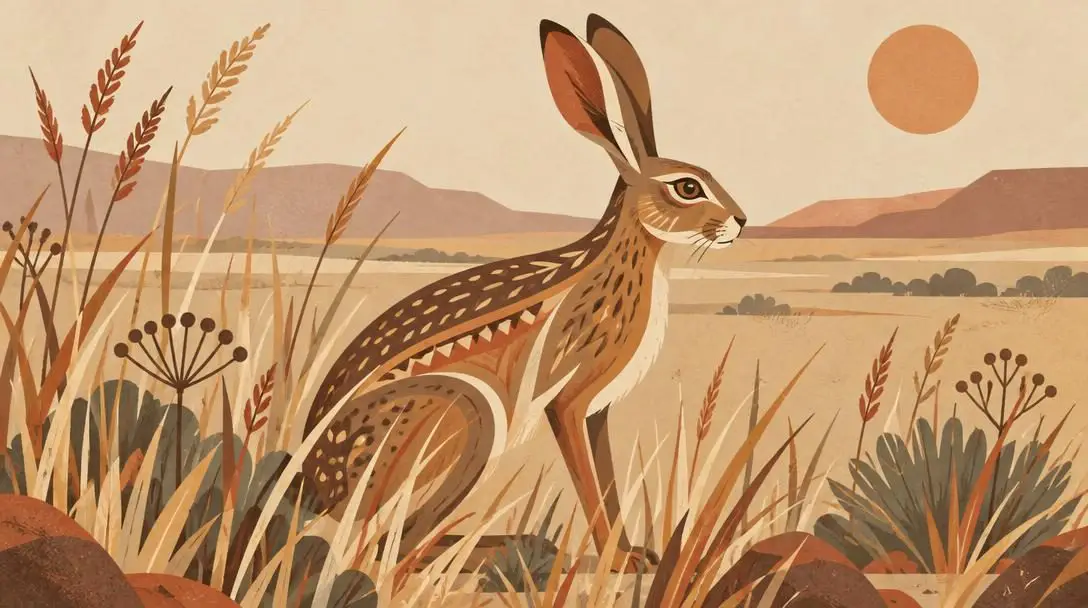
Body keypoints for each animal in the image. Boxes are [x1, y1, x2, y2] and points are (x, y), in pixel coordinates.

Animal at [301, 13, 747, 573]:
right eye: (688, 188)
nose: (741, 221)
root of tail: (316, 487)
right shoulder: (571, 400)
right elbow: (588, 481)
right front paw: (620, 563)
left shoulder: (597, 410)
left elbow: (606, 481)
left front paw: (632, 553)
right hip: (466, 421)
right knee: (387, 549)